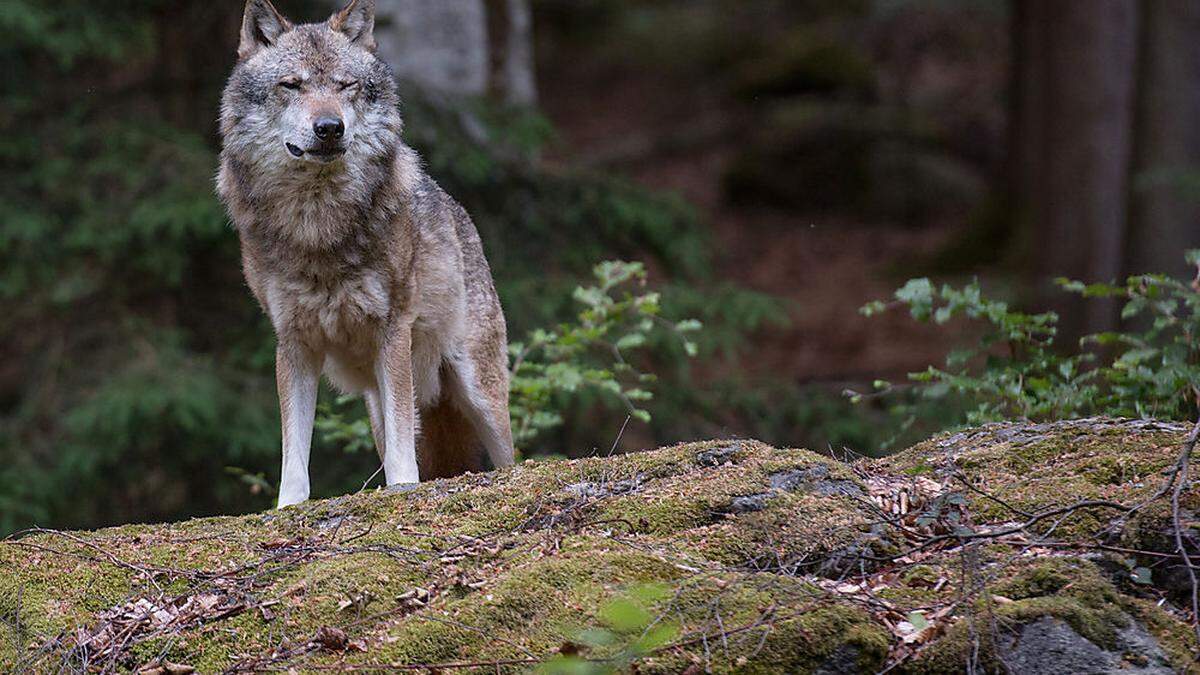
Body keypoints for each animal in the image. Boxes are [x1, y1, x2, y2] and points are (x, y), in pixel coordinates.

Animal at [218, 0, 513, 504]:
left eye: (344, 85)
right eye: (291, 85)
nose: (329, 127)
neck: (317, 224)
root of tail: (461, 217)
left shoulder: (393, 330)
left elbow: (401, 448)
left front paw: (403, 490)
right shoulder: (293, 342)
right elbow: (294, 450)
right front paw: (288, 507)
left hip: (477, 390)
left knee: (512, 457)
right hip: (378, 401)